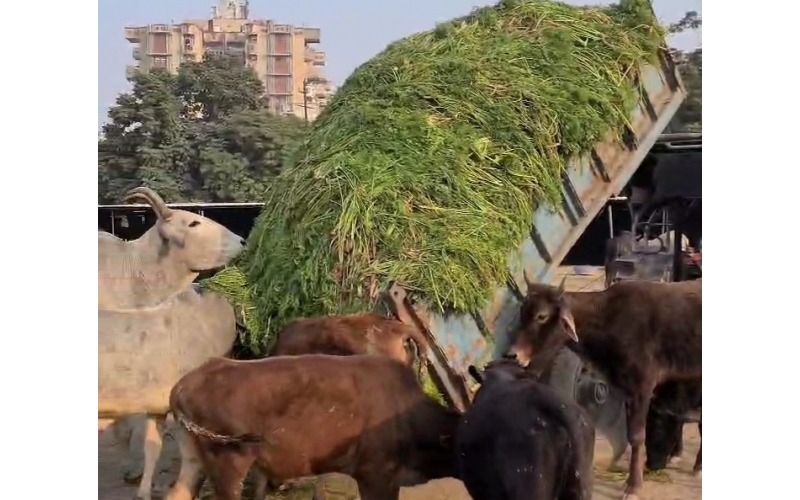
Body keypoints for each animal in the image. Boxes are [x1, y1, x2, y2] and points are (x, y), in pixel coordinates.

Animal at [506, 278, 700, 500]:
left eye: (541, 316)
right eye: (522, 312)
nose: (513, 355)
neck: (608, 318)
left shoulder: (642, 386)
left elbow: (636, 436)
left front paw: (633, 485)